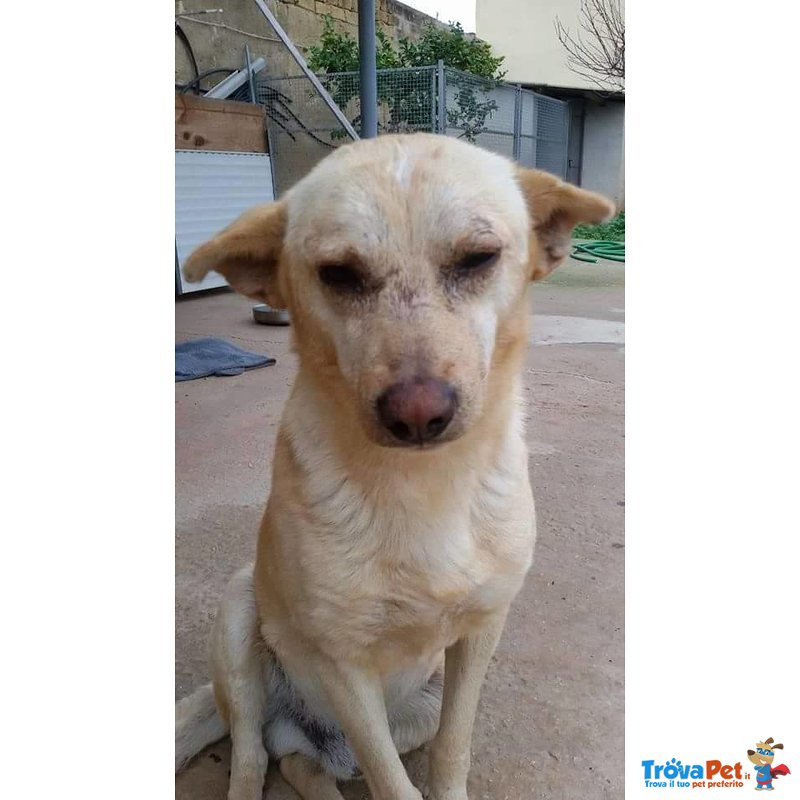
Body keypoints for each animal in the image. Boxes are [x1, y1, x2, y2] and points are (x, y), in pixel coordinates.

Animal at [175, 133, 612, 800]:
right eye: (338, 273)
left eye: (479, 258)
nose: (418, 415)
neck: (426, 486)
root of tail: (301, 726)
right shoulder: (344, 665)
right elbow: (391, 782)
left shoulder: (481, 633)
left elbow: (452, 751)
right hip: (238, 615)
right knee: (252, 754)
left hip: (414, 708)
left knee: (298, 762)